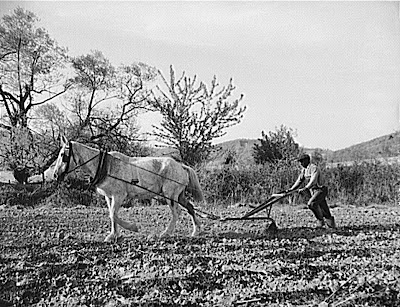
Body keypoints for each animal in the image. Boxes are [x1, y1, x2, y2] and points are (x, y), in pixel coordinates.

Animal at [53, 137, 203, 243]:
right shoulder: (109, 197)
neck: (106, 166)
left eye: (62, 155)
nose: (55, 175)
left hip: (170, 195)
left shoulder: (119, 195)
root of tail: (181, 166)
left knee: (176, 212)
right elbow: (112, 214)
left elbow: (113, 214)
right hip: (179, 195)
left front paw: (132, 227)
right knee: (190, 208)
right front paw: (113, 235)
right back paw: (195, 231)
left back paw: (165, 233)